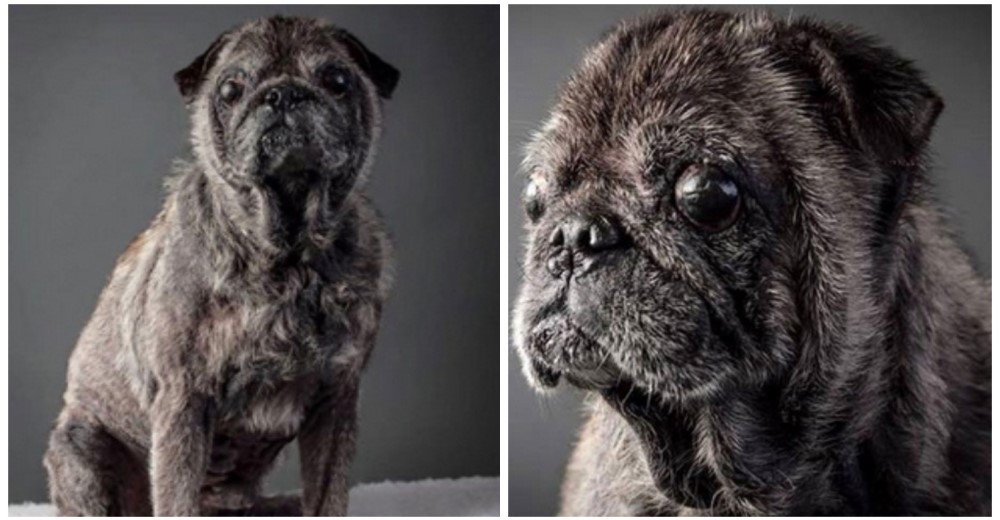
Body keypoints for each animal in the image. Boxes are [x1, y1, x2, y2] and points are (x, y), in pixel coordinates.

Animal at [46, 16, 398, 516]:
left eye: (337, 81)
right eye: (232, 89)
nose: (283, 94)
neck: (286, 253)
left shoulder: (336, 399)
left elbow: (328, 496)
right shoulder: (184, 399)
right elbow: (176, 496)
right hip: (82, 446)